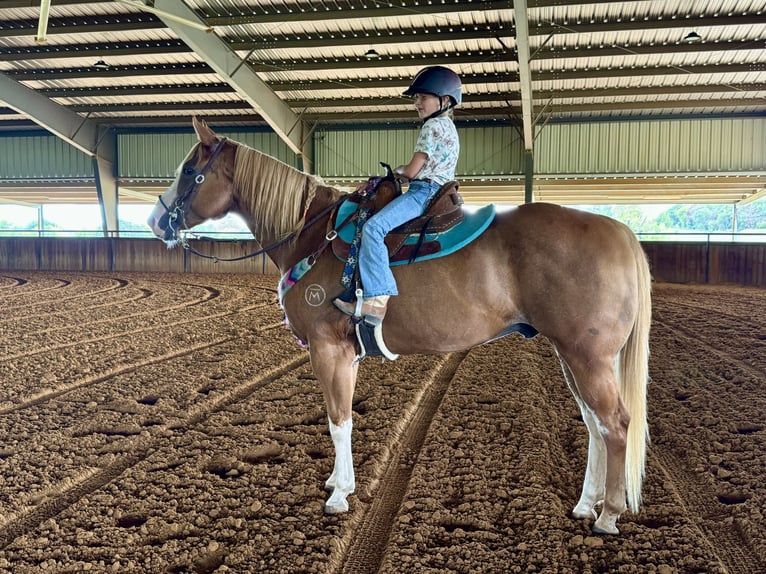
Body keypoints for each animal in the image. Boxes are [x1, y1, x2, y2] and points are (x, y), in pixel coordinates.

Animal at [147, 117, 652, 536]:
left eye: (190, 171)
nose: (156, 222)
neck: (315, 236)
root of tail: (619, 231)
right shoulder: (346, 353)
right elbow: (344, 418)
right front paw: (341, 482)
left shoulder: (327, 348)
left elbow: (337, 420)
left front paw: (338, 495)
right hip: (571, 355)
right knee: (594, 425)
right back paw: (586, 505)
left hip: (587, 357)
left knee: (616, 424)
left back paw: (608, 516)